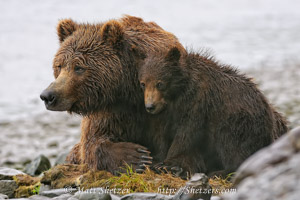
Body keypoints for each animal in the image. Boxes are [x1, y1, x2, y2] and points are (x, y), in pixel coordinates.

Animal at [39, 15, 185, 174]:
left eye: (79, 67)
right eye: (59, 66)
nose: (48, 96)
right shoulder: (110, 108)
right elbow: (92, 143)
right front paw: (135, 156)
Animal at [138, 47, 288, 178]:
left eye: (160, 83)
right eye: (143, 83)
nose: (150, 106)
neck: (181, 92)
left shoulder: (200, 103)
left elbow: (185, 135)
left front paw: (168, 164)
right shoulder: (169, 112)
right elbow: (162, 134)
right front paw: (157, 158)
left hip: (238, 122)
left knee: (231, 145)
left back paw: (219, 171)